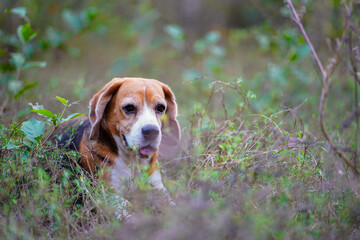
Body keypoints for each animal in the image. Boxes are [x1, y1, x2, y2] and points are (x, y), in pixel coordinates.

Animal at [54, 78, 180, 218]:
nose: (152, 131)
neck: (132, 160)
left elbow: (173, 205)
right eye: (129, 108)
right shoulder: (109, 194)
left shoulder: (157, 187)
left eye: (160, 108)